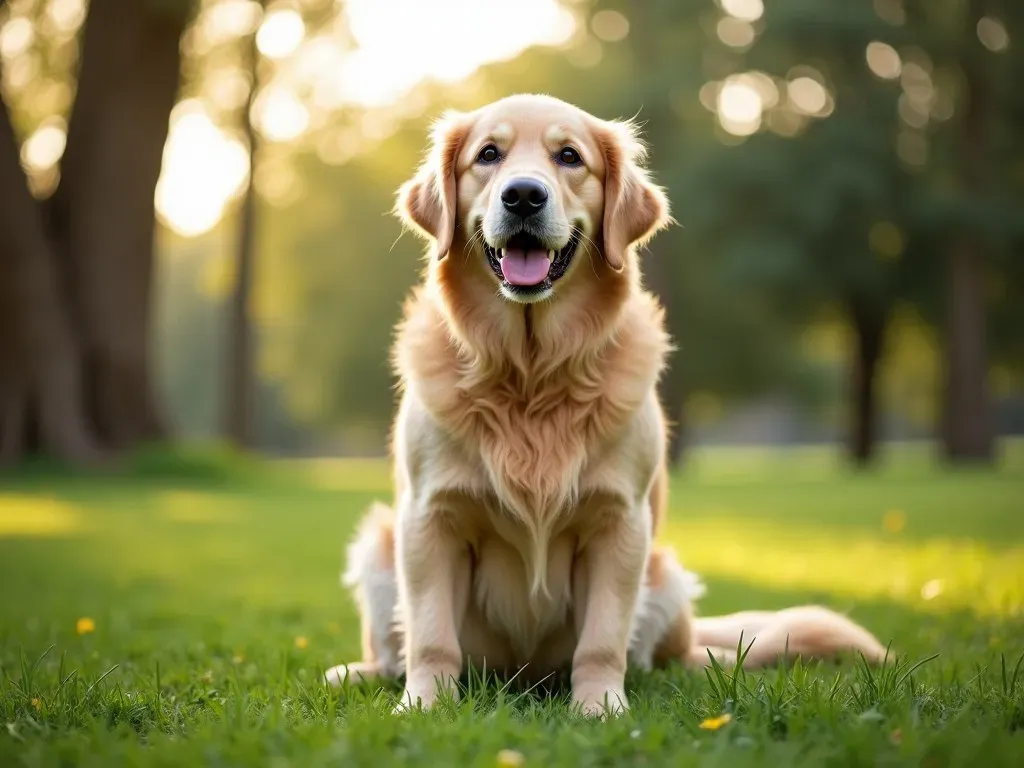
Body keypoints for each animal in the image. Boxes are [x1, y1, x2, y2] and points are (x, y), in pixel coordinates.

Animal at [325, 94, 888, 716]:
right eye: (488, 155)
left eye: (570, 156)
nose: (524, 195)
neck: (531, 372)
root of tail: (520, 680)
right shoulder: (430, 516)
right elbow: (430, 638)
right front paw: (424, 704)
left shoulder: (620, 521)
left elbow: (600, 641)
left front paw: (600, 708)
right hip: (379, 549)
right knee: (394, 652)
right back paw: (356, 673)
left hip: (664, 576)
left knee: (677, 658)